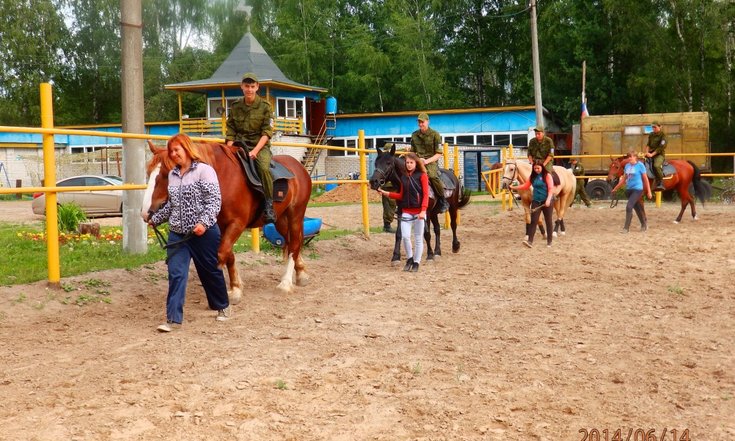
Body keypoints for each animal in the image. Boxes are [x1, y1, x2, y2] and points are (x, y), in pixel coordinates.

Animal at [142, 139, 312, 300]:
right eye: (148, 172)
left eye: (167, 174)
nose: (145, 213)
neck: (222, 179)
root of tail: (298, 167)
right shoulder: (221, 226)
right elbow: (229, 255)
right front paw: (236, 288)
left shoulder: (236, 224)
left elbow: (221, 254)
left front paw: (227, 292)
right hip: (280, 220)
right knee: (291, 242)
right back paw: (301, 273)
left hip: (295, 215)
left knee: (294, 243)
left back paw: (286, 283)